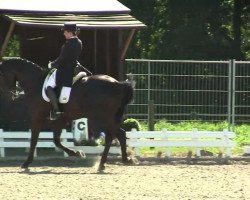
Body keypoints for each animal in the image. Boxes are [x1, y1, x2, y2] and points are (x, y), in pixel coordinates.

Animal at [0, 57, 134, 170]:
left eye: (1, 75)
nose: (8, 96)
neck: (35, 83)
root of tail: (117, 84)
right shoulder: (59, 120)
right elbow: (56, 141)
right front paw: (77, 153)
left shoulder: (37, 118)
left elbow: (34, 140)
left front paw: (26, 163)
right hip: (109, 118)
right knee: (119, 135)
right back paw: (122, 160)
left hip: (102, 118)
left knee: (114, 136)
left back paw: (105, 163)